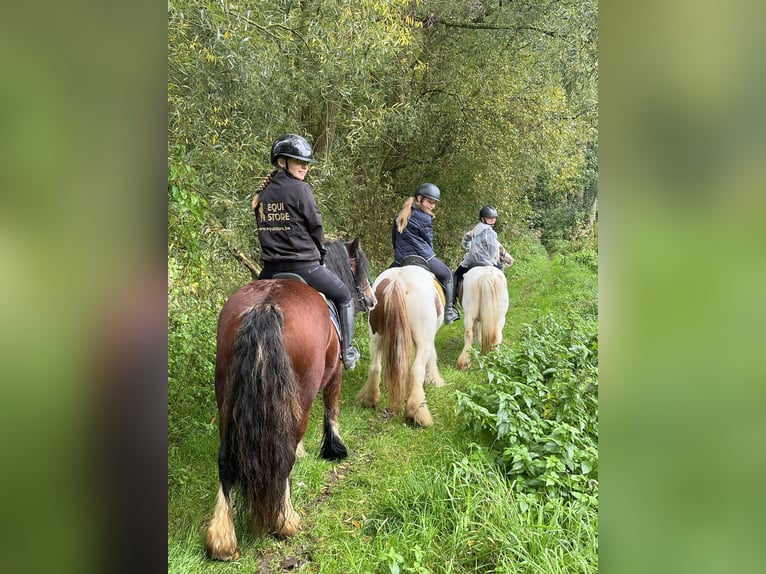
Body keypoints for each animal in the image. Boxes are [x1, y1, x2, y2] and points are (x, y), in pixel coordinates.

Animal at [202, 238, 374, 564]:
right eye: (361, 266)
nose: (371, 300)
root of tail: (265, 306)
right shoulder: (333, 375)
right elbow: (331, 408)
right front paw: (334, 448)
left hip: (227, 398)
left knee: (226, 459)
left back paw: (222, 539)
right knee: (284, 456)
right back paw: (285, 521)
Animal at [356, 266, 448, 428]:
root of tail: (398, 281)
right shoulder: (429, 338)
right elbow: (432, 357)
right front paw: (433, 380)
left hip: (376, 335)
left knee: (375, 366)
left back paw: (370, 399)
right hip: (423, 339)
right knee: (417, 369)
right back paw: (417, 413)